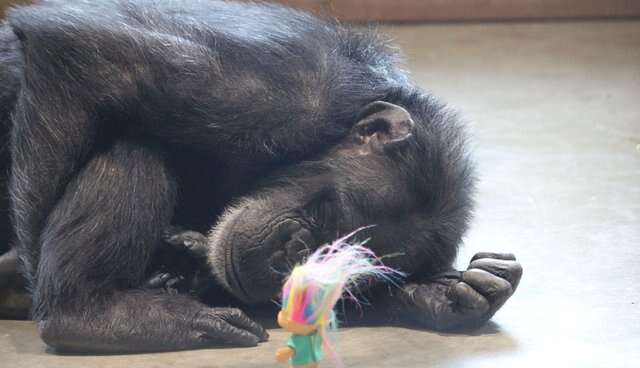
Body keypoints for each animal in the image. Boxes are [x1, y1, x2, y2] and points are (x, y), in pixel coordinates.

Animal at [0, 0, 520, 352]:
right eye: (327, 212)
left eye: (345, 271)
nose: (290, 256)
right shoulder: (279, 92)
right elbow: (87, 56)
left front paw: (446, 294)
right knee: (133, 148)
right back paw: (93, 314)